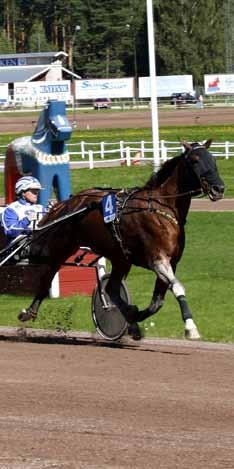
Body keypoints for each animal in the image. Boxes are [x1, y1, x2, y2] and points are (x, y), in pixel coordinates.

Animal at [18, 139, 225, 340]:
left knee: (111, 289)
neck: (161, 207)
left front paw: (134, 316)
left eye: (213, 159)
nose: (219, 188)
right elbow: (178, 287)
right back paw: (29, 311)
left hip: (120, 258)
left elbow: (157, 302)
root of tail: (69, 202)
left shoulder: (171, 262)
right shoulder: (158, 259)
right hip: (63, 247)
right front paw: (191, 327)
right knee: (48, 275)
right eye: (195, 160)